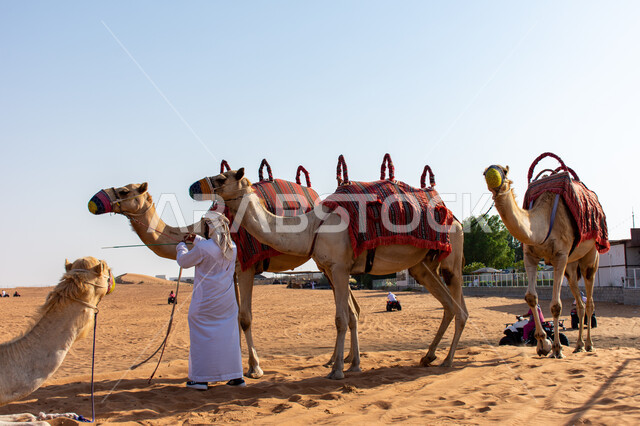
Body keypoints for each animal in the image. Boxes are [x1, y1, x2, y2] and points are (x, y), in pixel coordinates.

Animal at [88, 182, 360, 378]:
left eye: (125, 190)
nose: (95, 200)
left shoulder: (245, 267)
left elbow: (245, 318)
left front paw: (254, 368)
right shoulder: (232, 272)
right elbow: (234, 317)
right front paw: (236, 363)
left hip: (327, 263)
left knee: (348, 308)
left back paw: (342, 363)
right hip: (327, 264)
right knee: (352, 309)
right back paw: (342, 361)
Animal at [189, 168, 468, 380]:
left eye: (221, 178)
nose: (193, 186)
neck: (312, 227)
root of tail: (455, 219)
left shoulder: (340, 268)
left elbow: (341, 318)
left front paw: (337, 371)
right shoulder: (333, 269)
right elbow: (346, 315)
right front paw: (348, 364)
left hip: (450, 258)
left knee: (460, 309)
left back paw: (447, 360)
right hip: (423, 265)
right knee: (449, 306)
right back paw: (428, 356)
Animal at [484, 163, 603, 358]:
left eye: (505, 171)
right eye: (484, 172)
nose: (492, 174)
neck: (541, 223)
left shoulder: (560, 256)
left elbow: (556, 305)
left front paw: (557, 349)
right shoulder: (529, 256)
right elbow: (531, 297)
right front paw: (542, 345)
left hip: (591, 254)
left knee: (590, 299)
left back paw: (589, 345)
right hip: (571, 265)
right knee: (579, 302)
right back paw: (578, 346)